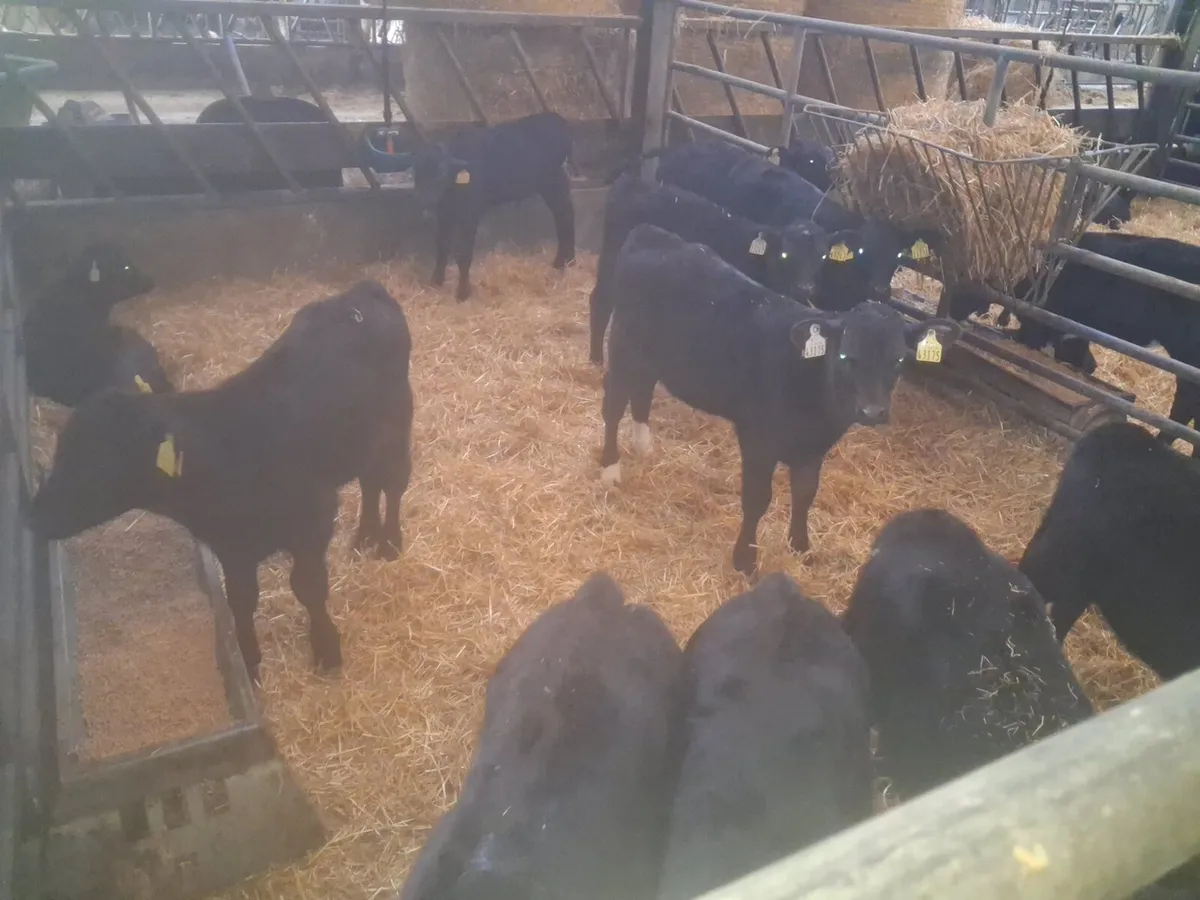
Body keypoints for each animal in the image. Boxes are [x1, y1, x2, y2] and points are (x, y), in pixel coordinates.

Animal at [29, 280, 414, 684]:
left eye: (101, 462)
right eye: (60, 452)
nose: (34, 515)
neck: (225, 457)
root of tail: (360, 291)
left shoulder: (314, 523)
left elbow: (308, 587)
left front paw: (326, 649)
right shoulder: (231, 546)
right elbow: (241, 601)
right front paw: (249, 661)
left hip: (397, 423)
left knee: (393, 482)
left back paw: (389, 542)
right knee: (370, 483)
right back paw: (365, 536)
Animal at [403, 112, 575, 301]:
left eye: (441, 172)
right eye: (416, 171)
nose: (423, 198)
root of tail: (558, 120)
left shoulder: (470, 214)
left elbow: (463, 252)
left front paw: (463, 293)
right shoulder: (444, 215)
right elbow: (442, 246)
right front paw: (436, 281)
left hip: (554, 181)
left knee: (566, 215)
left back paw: (563, 261)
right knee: (563, 216)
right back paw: (565, 261)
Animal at [589, 173, 835, 365]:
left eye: (822, 256)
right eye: (786, 255)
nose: (806, 288)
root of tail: (635, 182)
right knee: (601, 301)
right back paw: (596, 359)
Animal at [599, 224, 961, 575]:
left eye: (899, 360)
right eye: (846, 356)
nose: (872, 411)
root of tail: (654, 234)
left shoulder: (814, 448)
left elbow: (805, 494)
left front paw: (800, 547)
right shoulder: (758, 439)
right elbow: (758, 498)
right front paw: (745, 560)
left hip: (651, 357)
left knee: (642, 392)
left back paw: (643, 446)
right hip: (624, 346)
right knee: (614, 404)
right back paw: (610, 467)